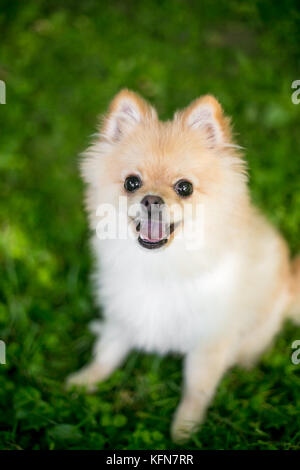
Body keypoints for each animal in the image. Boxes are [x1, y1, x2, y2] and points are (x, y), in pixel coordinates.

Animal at [67, 89, 300, 444]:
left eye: (184, 188)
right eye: (131, 183)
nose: (151, 199)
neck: (162, 265)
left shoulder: (209, 342)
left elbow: (196, 389)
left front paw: (184, 429)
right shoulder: (124, 312)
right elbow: (107, 351)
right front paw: (86, 380)